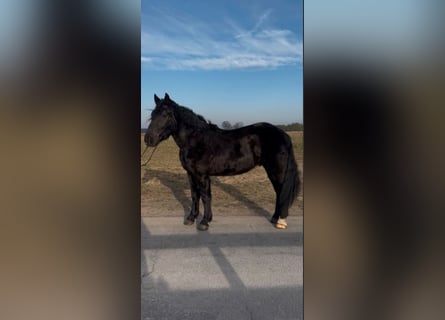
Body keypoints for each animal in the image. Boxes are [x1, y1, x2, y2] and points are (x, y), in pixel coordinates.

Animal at [144, 92, 300, 230]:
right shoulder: (191, 174)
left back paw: (280, 221)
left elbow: (206, 197)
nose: (148, 139)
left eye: (165, 115)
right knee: (279, 193)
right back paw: (275, 218)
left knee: (281, 192)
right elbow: (194, 196)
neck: (195, 140)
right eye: (152, 115)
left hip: (277, 172)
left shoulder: (202, 175)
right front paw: (191, 218)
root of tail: (283, 134)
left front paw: (204, 222)